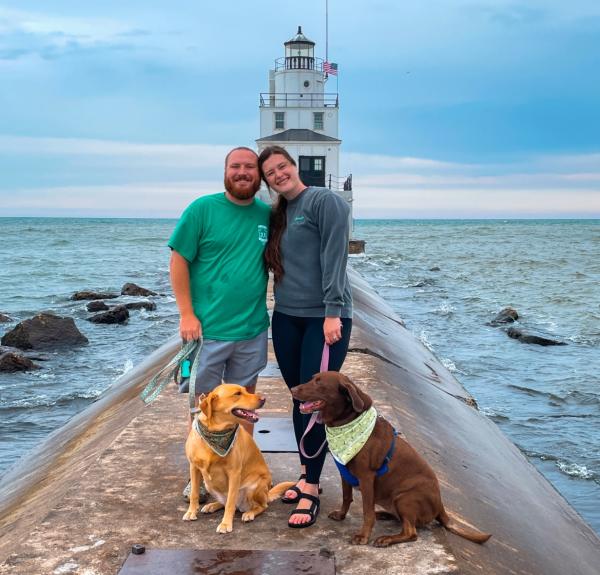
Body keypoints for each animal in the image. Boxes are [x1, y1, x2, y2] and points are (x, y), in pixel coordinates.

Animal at [184, 384, 294, 532]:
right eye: (237, 393)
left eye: (246, 390)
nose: (264, 399)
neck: (216, 432)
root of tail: (267, 494)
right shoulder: (194, 467)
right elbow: (194, 494)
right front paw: (191, 512)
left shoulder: (234, 473)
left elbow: (230, 502)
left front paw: (225, 524)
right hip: (208, 483)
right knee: (225, 503)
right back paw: (212, 505)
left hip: (254, 487)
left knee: (260, 506)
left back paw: (249, 513)